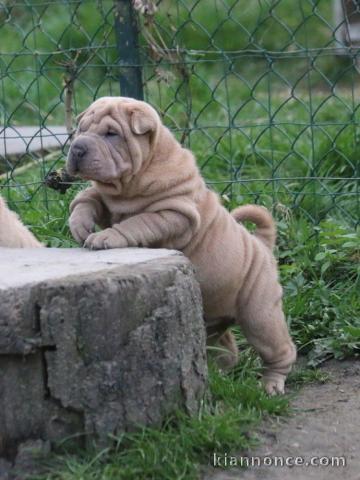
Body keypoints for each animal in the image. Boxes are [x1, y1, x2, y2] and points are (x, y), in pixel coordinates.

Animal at [67, 96, 296, 394]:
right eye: (81, 129)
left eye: (111, 134)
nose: (77, 148)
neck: (129, 186)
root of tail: (262, 245)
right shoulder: (107, 199)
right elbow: (88, 197)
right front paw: (79, 224)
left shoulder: (173, 214)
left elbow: (137, 222)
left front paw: (106, 237)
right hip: (214, 314)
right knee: (225, 347)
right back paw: (218, 375)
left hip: (259, 312)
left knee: (279, 349)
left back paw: (271, 385)